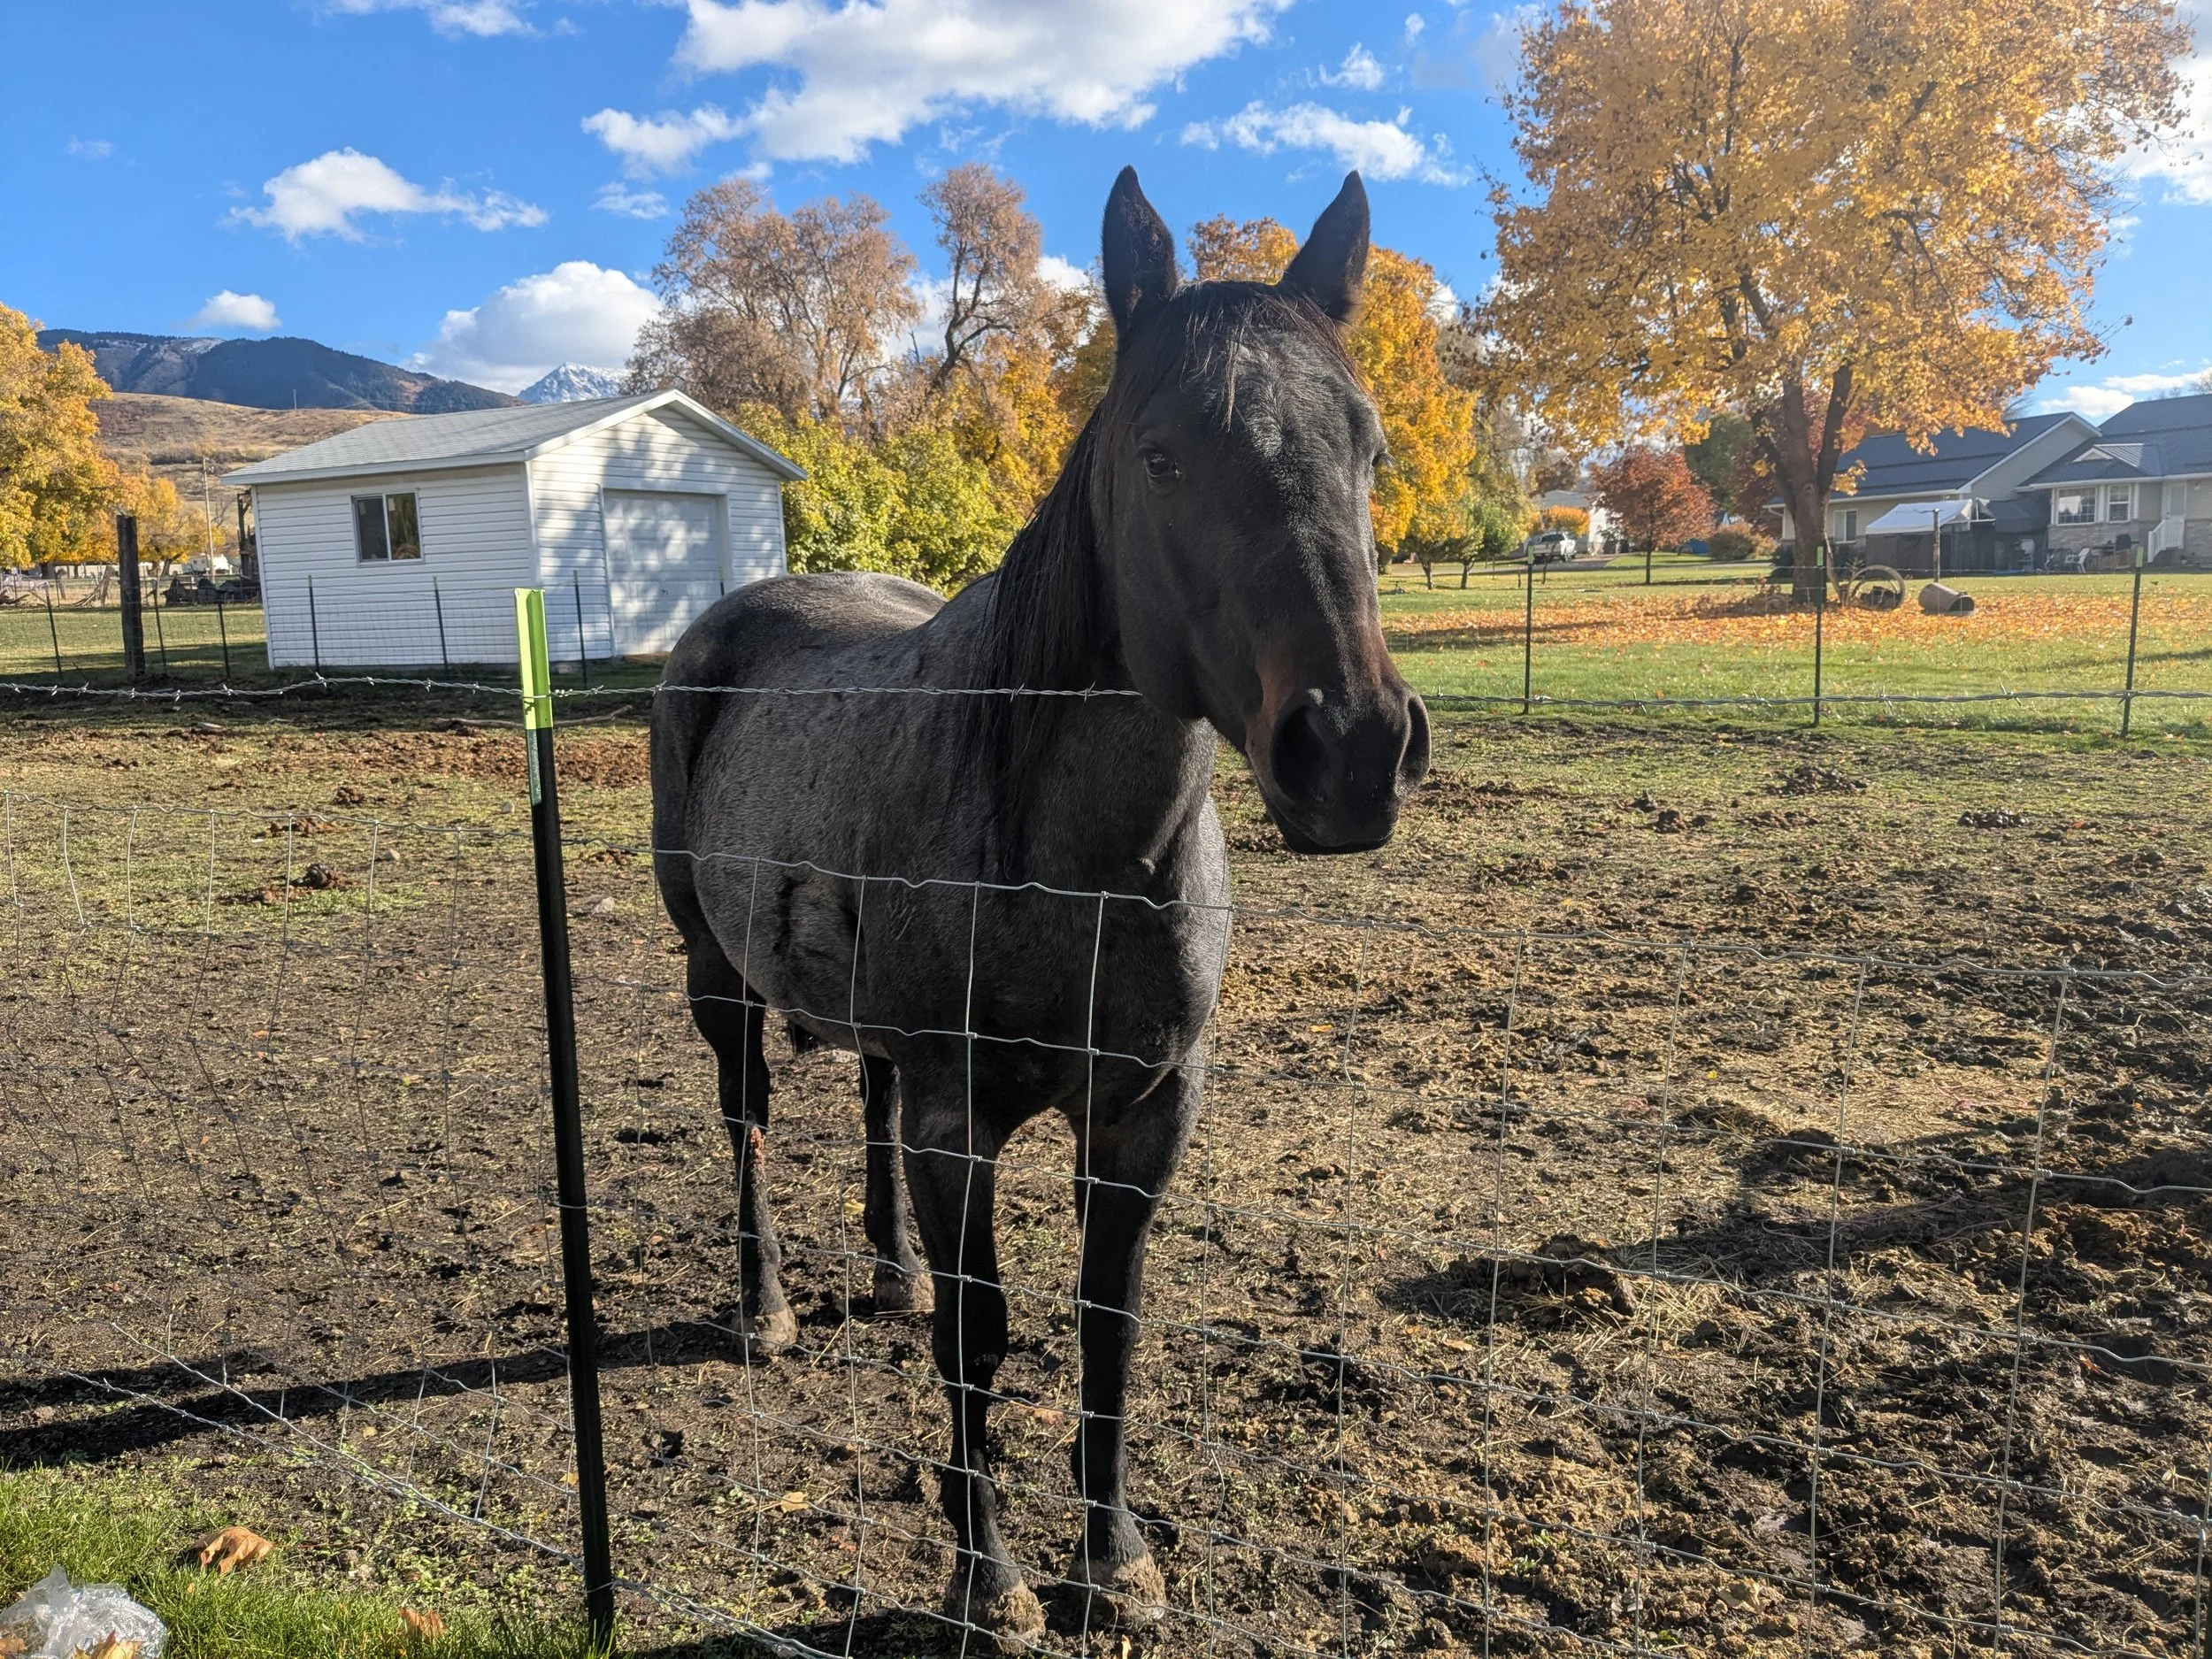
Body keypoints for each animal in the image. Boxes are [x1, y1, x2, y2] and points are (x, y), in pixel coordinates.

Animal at [651, 165, 1428, 1647]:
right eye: (1163, 455)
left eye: (1368, 448)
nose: (1353, 748)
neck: (1083, 865)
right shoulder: (966, 1121)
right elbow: (982, 1338)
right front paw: (988, 1577)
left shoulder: (1143, 1112)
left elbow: (1105, 1323)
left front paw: (1115, 1557)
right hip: (719, 981)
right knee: (747, 1126)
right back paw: (765, 1307)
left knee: (867, 1102)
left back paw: (887, 1271)